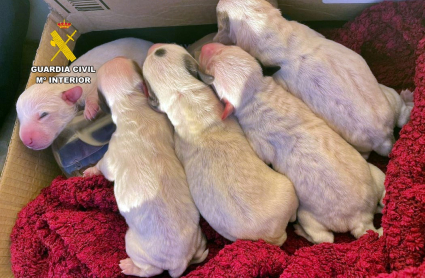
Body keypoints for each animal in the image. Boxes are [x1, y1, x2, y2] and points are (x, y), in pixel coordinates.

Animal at [83, 57, 207, 276]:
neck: (133, 106)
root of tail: (180, 261)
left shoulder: (111, 155)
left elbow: (103, 167)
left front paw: (90, 171)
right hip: (197, 236)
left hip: (133, 244)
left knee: (149, 271)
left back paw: (129, 266)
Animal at [199, 43, 384, 243]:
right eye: (229, 46)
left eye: (211, 73)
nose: (206, 46)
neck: (257, 93)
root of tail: (362, 218)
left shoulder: (257, 141)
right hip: (374, 174)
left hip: (310, 216)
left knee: (324, 238)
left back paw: (301, 231)